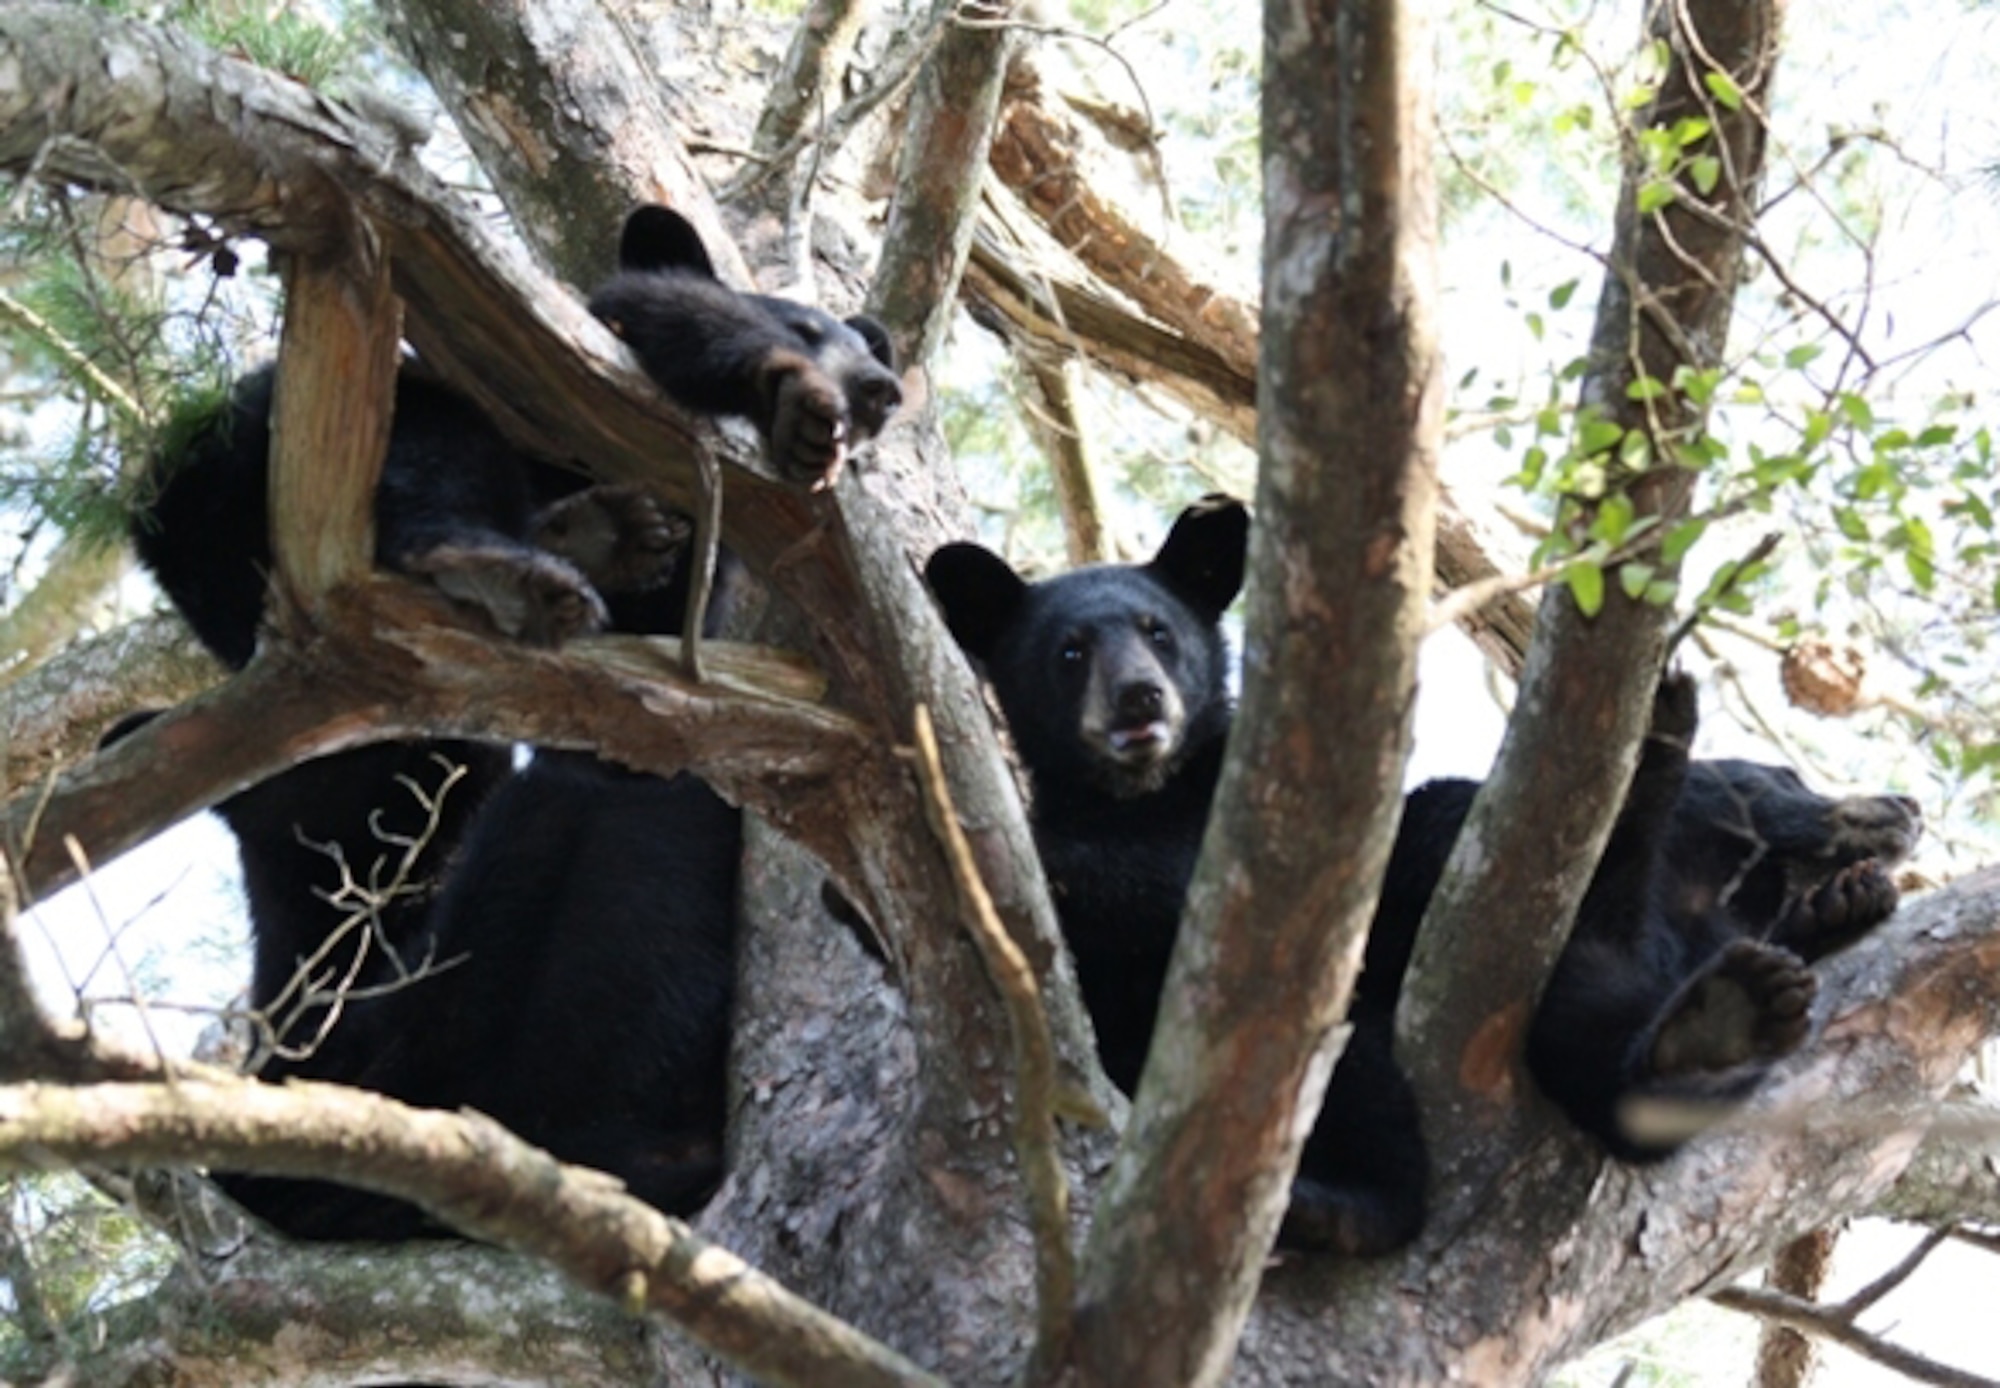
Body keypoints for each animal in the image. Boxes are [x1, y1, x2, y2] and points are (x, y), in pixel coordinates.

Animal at [125, 204, 900, 1240]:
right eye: (810, 325)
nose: (881, 387)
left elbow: (661, 667)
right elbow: (634, 312)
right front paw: (787, 397)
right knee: (428, 444)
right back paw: (498, 560)